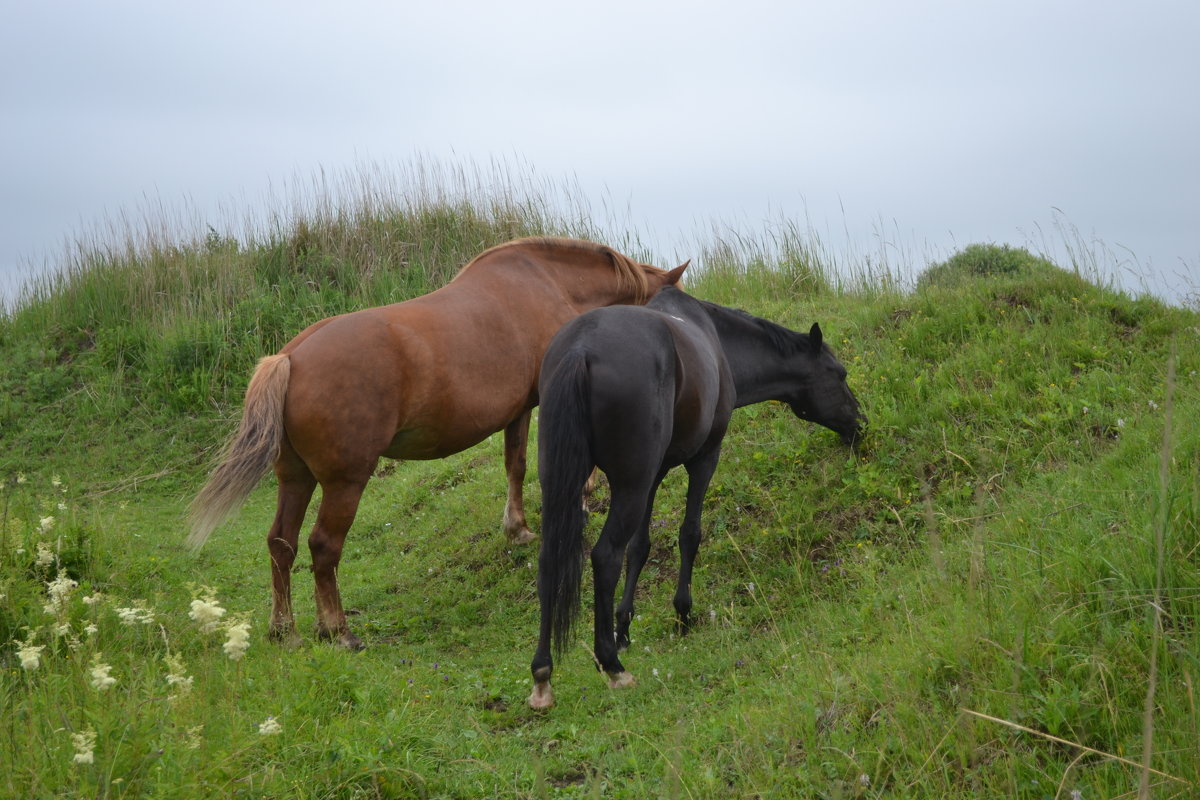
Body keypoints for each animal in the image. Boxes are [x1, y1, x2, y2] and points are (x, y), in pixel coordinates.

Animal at [187, 237, 686, 652]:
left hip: (295, 478)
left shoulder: (519, 411)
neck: (551, 285)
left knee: (281, 544)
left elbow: (516, 464)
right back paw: (337, 630)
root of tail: (290, 357)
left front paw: (517, 528)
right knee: (323, 547)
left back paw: (284, 630)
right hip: (345, 482)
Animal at [525, 286, 864, 705]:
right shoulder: (703, 459)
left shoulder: (654, 476)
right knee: (605, 557)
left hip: (567, 483)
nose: (859, 422)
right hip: (630, 485)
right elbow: (689, 534)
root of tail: (580, 350)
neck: (717, 343)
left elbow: (641, 546)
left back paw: (543, 674)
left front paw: (624, 628)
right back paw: (612, 666)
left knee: (550, 561)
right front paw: (682, 614)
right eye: (839, 374)